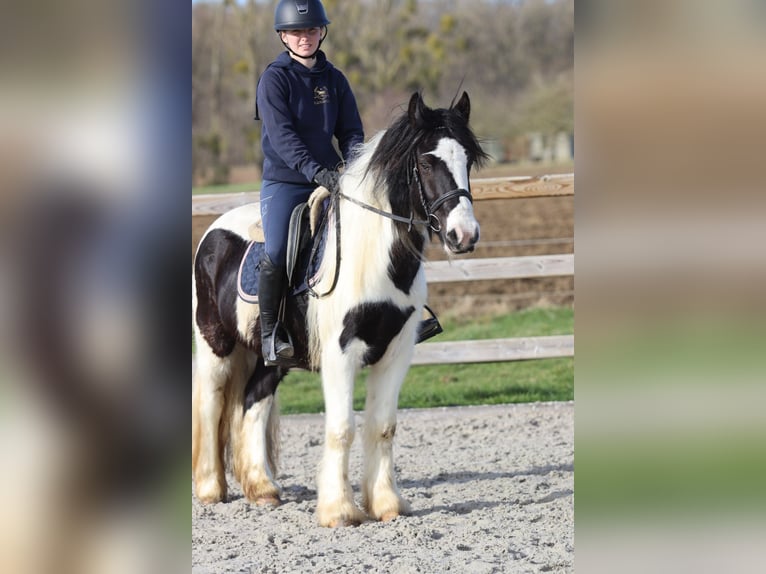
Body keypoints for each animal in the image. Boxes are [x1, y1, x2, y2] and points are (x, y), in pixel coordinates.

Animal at [192, 91, 488, 527]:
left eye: (466, 160)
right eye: (425, 162)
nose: (463, 236)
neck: (375, 258)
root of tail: (213, 233)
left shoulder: (397, 351)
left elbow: (382, 426)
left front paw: (386, 504)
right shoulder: (340, 353)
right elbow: (342, 427)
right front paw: (339, 510)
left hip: (271, 357)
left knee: (252, 405)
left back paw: (262, 490)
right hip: (216, 344)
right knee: (211, 406)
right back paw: (211, 489)